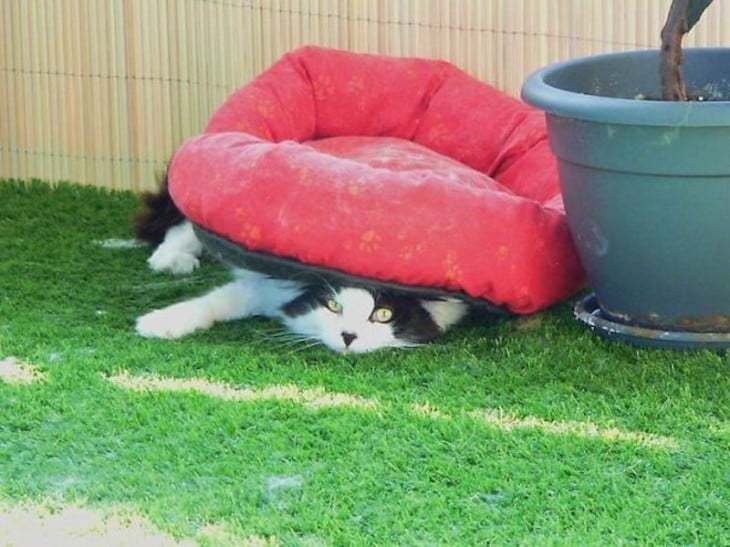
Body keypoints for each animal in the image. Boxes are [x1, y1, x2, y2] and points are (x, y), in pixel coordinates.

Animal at [134, 172, 466, 356]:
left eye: (383, 314)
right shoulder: (267, 285)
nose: (348, 337)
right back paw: (171, 260)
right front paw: (156, 324)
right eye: (333, 305)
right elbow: (216, 301)